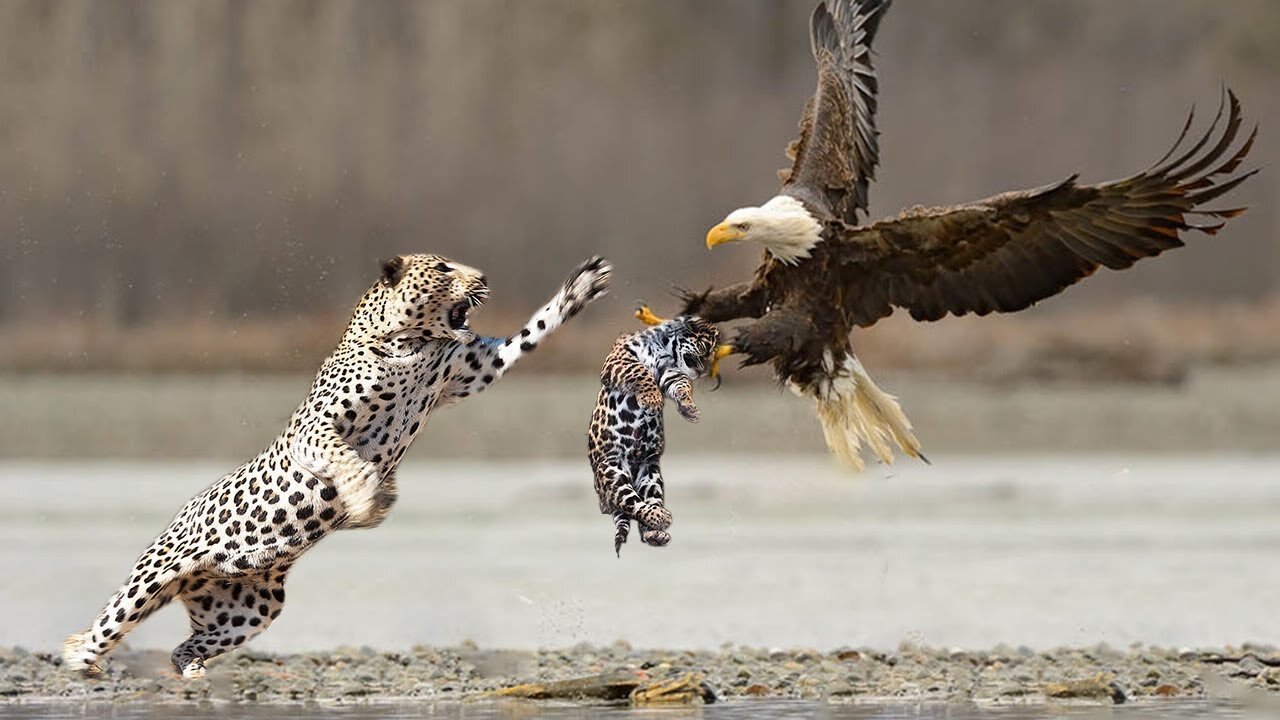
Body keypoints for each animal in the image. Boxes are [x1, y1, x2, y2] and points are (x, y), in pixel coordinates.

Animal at [62, 251, 611, 671]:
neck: (412, 343)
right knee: (103, 626)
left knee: (183, 647)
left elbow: (535, 327)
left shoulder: (474, 369)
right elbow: (347, 459)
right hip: (152, 578)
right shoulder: (314, 432)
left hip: (250, 610)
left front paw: (583, 285)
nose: (484, 279)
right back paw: (82, 662)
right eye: (442, 267)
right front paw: (368, 500)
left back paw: (190, 668)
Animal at [586, 313, 721, 556]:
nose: (706, 370)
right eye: (707, 348)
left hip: (651, 475)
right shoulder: (619, 358)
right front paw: (652, 398)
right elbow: (640, 371)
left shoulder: (669, 372)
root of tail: (603, 499)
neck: (663, 348)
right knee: (632, 502)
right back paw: (660, 517)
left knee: (645, 503)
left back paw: (655, 531)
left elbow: (682, 384)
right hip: (612, 470)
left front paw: (689, 408)